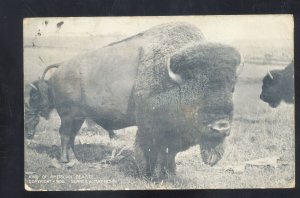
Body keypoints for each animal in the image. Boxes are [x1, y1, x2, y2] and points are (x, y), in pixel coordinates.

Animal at [25, 22, 241, 179]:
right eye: (196, 88)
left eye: (232, 87)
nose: (221, 127)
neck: (173, 80)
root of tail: (60, 69)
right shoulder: (150, 128)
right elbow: (151, 150)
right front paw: (149, 175)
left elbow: (170, 154)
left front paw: (171, 175)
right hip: (69, 115)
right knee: (64, 135)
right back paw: (65, 161)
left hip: (78, 117)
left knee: (70, 136)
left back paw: (74, 160)